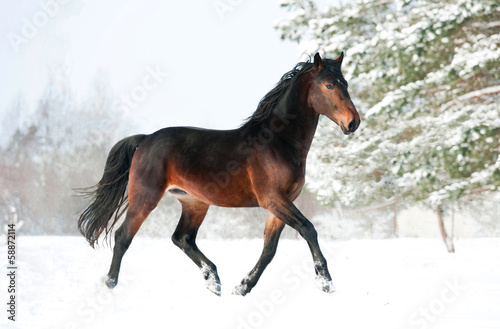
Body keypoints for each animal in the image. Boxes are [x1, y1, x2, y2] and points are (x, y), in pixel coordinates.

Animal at [77, 52, 360, 296]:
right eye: (329, 86)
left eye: (345, 83)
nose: (353, 122)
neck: (278, 143)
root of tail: (146, 139)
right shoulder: (272, 199)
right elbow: (308, 229)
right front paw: (326, 282)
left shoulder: (280, 203)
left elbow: (269, 248)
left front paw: (243, 287)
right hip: (145, 198)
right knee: (123, 236)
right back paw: (110, 284)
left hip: (194, 202)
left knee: (182, 238)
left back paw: (214, 281)